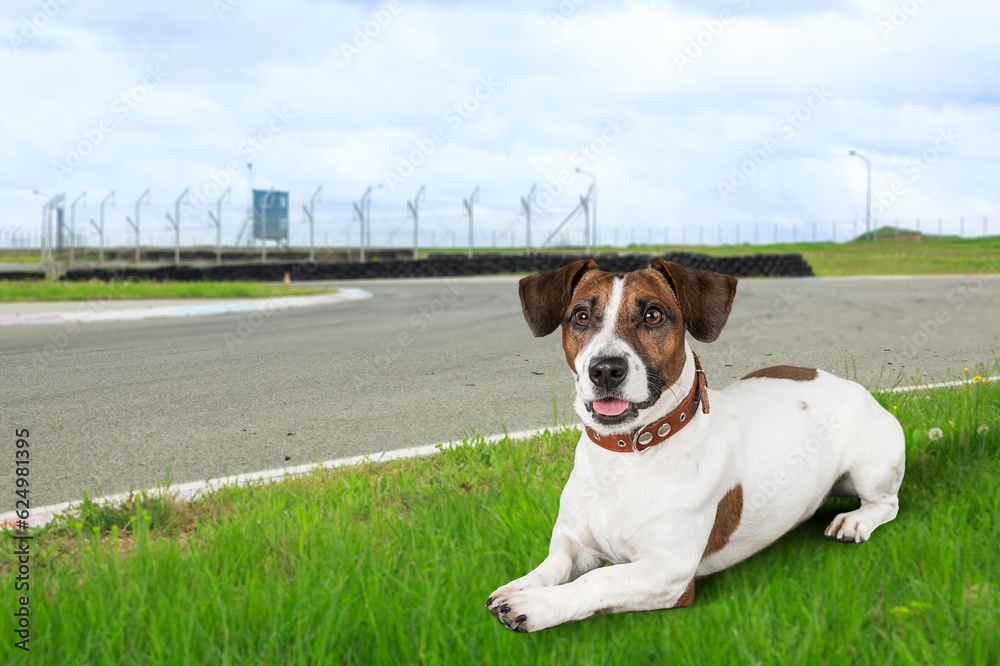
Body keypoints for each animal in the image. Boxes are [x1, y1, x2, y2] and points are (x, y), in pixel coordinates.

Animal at [484, 256, 908, 632]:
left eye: (653, 315)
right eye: (581, 317)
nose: (605, 370)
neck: (627, 456)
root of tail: (851, 384)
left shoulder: (668, 573)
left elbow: (597, 580)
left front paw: (537, 606)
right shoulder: (575, 544)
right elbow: (552, 566)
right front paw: (520, 587)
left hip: (870, 468)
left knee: (887, 504)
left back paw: (855, 520)